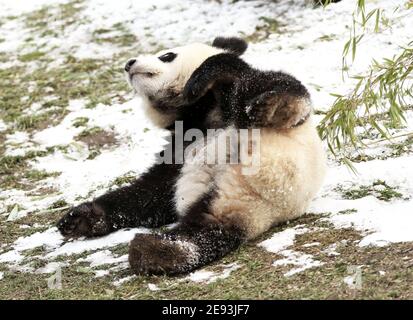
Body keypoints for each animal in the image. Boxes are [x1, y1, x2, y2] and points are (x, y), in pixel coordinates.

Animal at [57, 37, 326, 276]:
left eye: (167, 55)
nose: (130, 63)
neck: (200, 115)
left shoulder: (222, 99)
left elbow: (241, 72)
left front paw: (198, 80)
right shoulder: (179, 153)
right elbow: (148, 195)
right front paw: (78, 219)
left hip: (270, 152)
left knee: (271, 91)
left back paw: (273, 106)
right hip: (232, 205)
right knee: (204, 232)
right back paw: (157, 251)